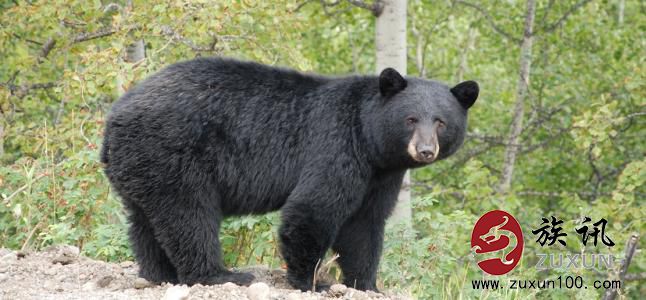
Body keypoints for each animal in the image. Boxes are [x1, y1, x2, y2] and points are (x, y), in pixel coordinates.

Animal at [100, 57, 476, 292]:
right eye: (410, 119)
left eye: (441, 122)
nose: (425, 150)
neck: (370, 141)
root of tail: (115, 117)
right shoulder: (336, 146)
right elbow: (313, 208)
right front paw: (312, 281)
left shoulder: (380, 175)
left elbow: (365, 225)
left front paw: (367, 284)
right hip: (174, 153)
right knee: (188, 216)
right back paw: (219, 275)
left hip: (142, 164)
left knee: (145, 221)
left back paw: (158, 274)